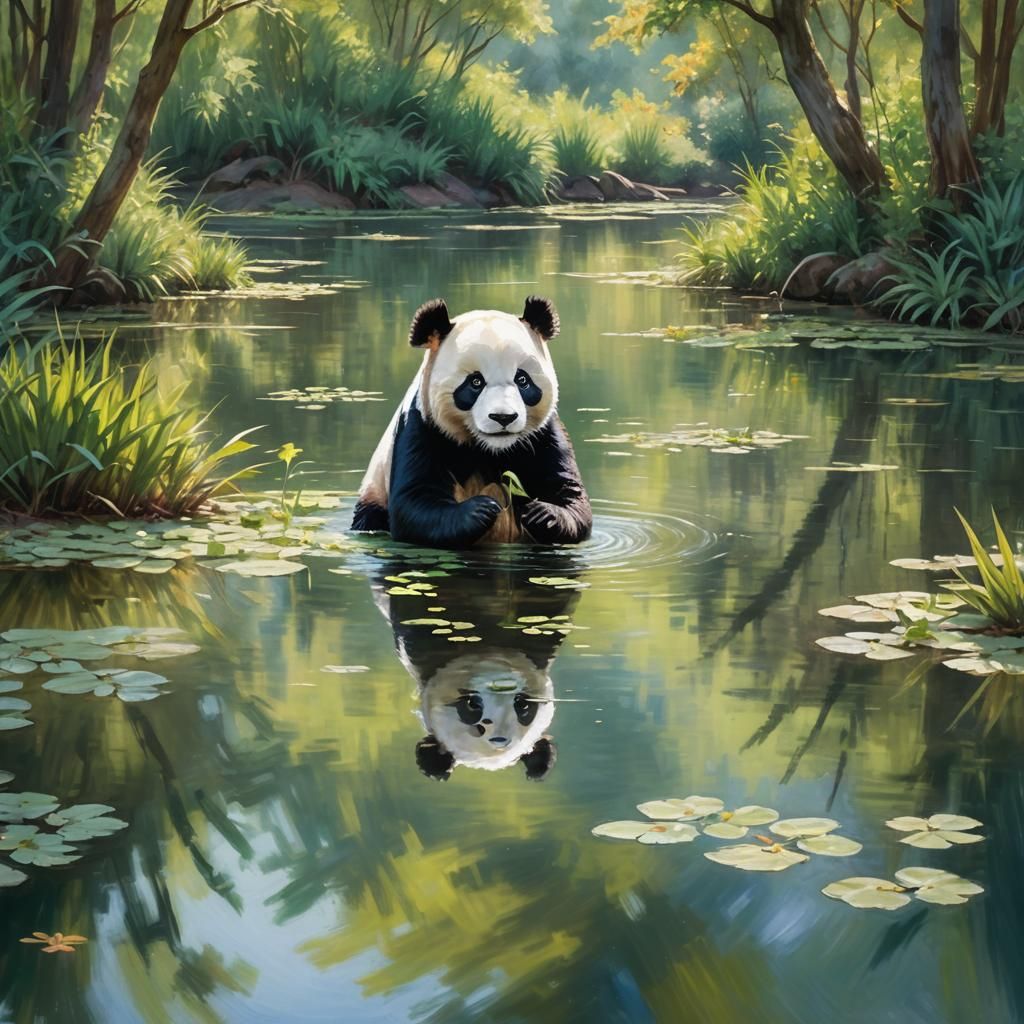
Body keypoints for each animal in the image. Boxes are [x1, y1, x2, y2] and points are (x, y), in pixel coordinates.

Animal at [352, 296, 592, 548]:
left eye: (522, 380)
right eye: (475, 382)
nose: (503, 417)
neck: (489, 449)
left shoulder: (544, 434)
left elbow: (569, 493)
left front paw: (543, 514)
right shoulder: (422, 425)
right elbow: (415, 501)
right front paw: (481, 509)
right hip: (374, 496)